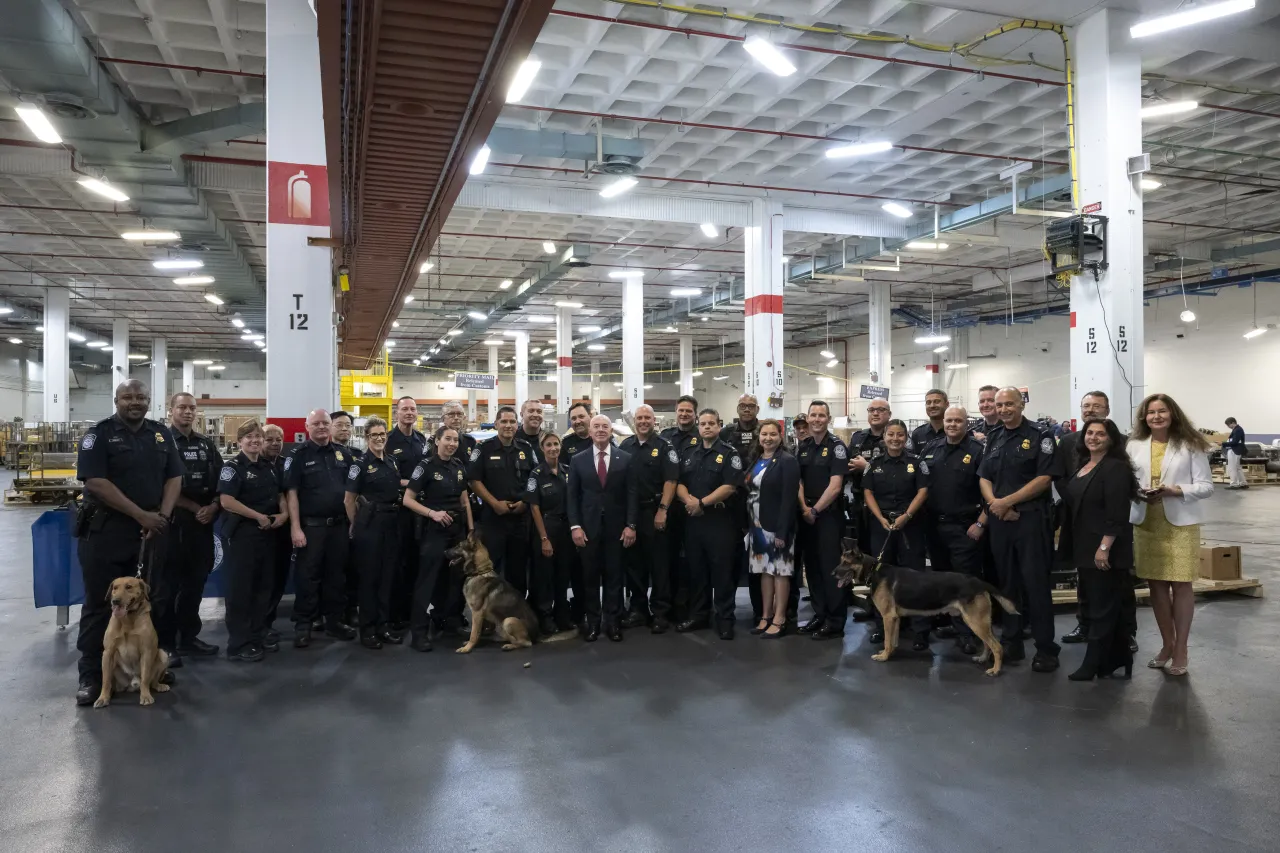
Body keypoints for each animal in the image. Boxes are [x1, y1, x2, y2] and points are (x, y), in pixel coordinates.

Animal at [94, 573, 170, 706]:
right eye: (115, 588)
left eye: (128, 587)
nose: (115, 601)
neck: (127, 618)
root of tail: (133, 684)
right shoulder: (108, 653)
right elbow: (106, 680)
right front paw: (103, 698)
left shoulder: (146, 651)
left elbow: (145, 678)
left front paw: (145, 696)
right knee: (111, 682)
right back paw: (110, 693)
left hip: (163, 654)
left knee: (152, 681)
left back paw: (159, 686)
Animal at [445, 532, 576, 650]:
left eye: (458, 546)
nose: (444, 552)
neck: (480, 572)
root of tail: (537, 635)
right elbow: (479, 632)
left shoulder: (477, 613)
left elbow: (474, 633)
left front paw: (467, 648)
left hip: (508, 621)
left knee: (526, 643)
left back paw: (510, 646)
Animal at [829, 540, 1018, 676]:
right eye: (840, 561)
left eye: (845, 563)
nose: (832, 574)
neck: (873, 571)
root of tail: (979, 582)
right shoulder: (895, 618)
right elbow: (893, 640)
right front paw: (889, 653)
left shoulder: (888, 617)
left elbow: (887, 639)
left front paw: (883, 657)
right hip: (979, 622)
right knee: (988, 644)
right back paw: (983, 659)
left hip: (975, 622)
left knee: (997, 647)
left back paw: (995, 670)